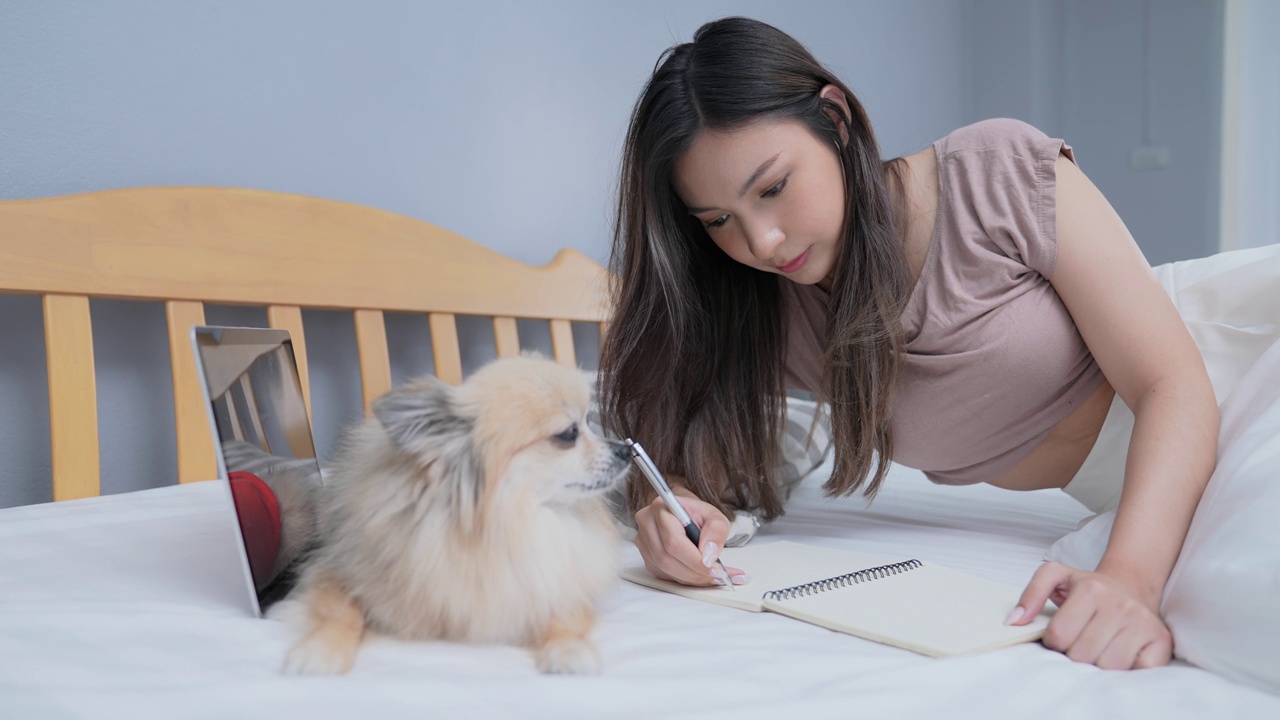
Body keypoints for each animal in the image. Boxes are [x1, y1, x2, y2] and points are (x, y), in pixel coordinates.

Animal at [282, 353, 637, 671]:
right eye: (568, 434)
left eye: (590, 421)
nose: (626, 449)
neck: (502, 530)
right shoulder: (337, 571)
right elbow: (338, 612)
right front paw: (319, 651)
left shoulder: (555, 581)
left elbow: (564, 613)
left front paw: (570, 650)